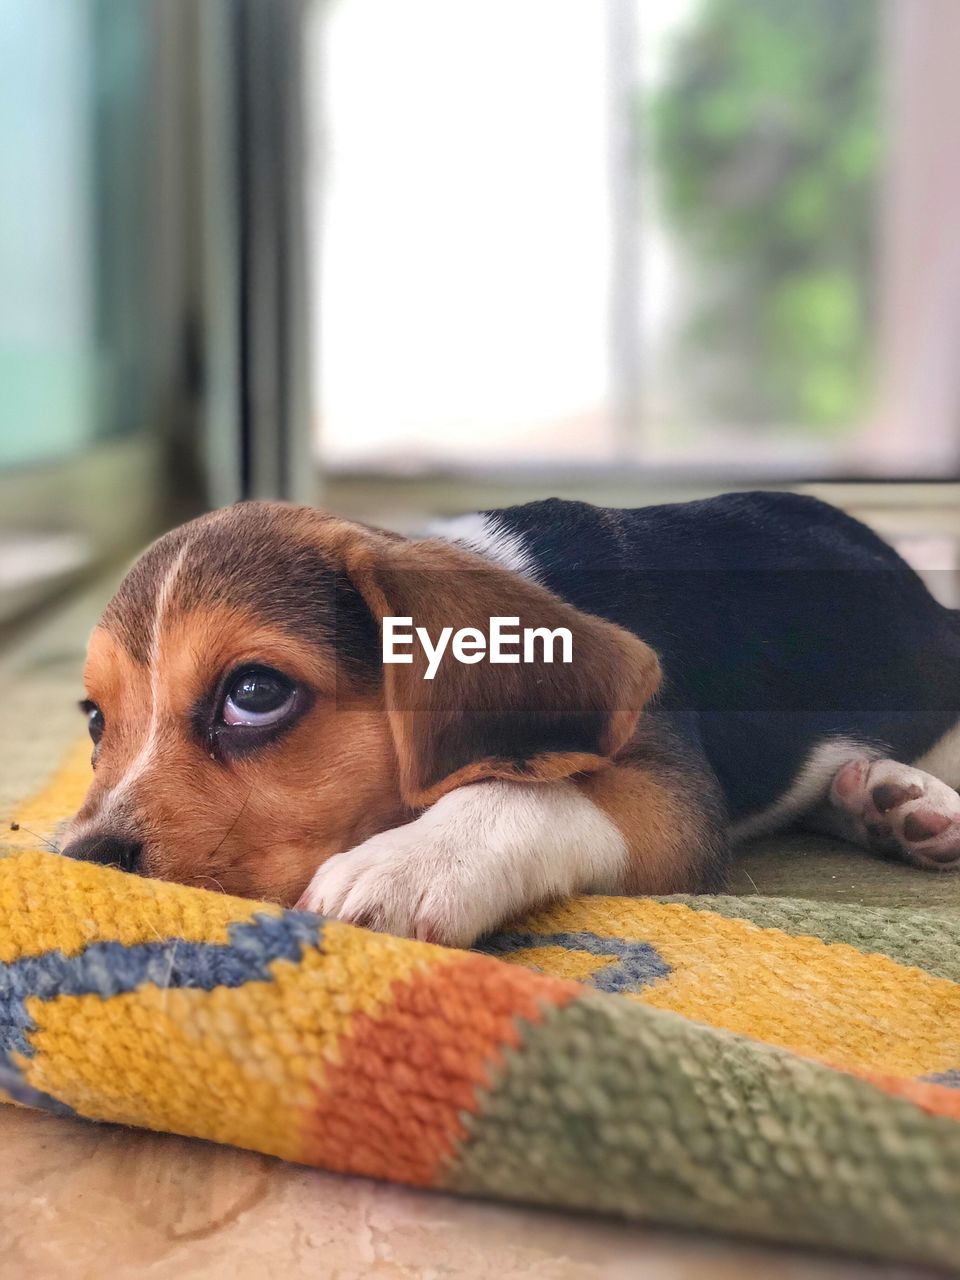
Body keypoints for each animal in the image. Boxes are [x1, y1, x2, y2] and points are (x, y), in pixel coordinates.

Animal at [64, 494, 960, 947]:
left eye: (254, 693)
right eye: (95, 721)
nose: (83, 862)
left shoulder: (672, 796)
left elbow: (535, 792)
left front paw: (412, 860)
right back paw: (885, 804)